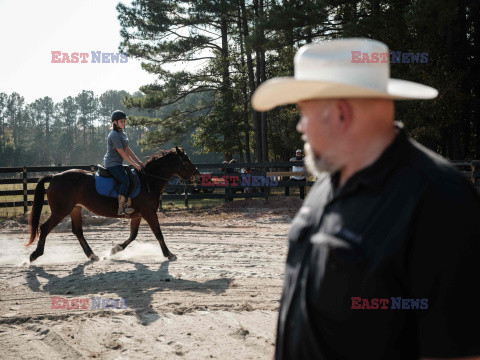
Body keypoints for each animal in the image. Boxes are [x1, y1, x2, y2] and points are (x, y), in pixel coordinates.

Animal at [27, 148, 200, 262]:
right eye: (185, 161)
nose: (198, 176)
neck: (149, 180)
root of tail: (55, 176)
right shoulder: (149, 212)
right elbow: (158, 233)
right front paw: (169, 254)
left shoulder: (138, 215)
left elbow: (133, 235)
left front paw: (115, 250)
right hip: (60, 211)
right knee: (45, 228)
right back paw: (35, 255)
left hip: (75, 209)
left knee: (77, 231)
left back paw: (92, 255)